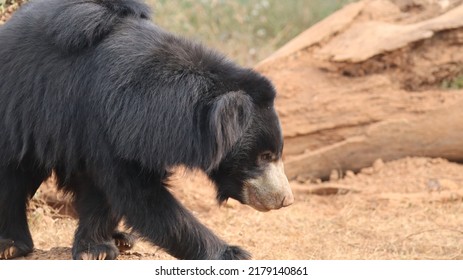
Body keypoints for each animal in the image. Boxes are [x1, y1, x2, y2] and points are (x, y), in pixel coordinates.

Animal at [0, 0, 296, 260]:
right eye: (264, 156)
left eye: (276, 153)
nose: (285, 200)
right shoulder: (103, 123)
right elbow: (137, 194)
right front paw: (232, 252)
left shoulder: (134, 137)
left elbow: (107, 191)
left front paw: (98, 246)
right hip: (22, 113)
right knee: (13, 176)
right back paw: (12, 245)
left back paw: (121, 237)